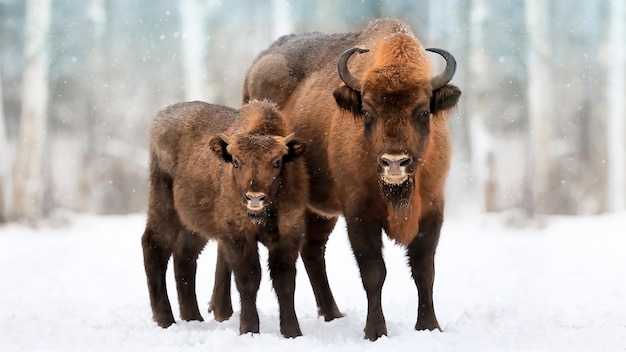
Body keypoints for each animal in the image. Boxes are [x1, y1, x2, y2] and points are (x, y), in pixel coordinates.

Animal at [141, 100, 308, 336]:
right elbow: (249, 278)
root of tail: (161, 117)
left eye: (277, 162)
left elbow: (284, 281)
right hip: (163, 206)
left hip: (193, 226)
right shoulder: (237, 235)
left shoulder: (289, 234)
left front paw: (292, 332)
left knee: (184, 256)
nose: (254, 197)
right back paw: (166, 320)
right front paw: (249, 329)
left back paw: (193, 317)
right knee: (155, 247)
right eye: (236, 162)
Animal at [236, 17, 460, 340]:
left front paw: (429, 326)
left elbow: (423, 269)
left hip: (319, 211)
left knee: (313, 251)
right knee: (312, 252)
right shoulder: (359, 214)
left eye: (422, 111)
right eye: (366, 111)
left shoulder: (432, 210)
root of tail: (256, 66)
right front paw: (375, 332)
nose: (394, 162)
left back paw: (332, 314)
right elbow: (374, 271)